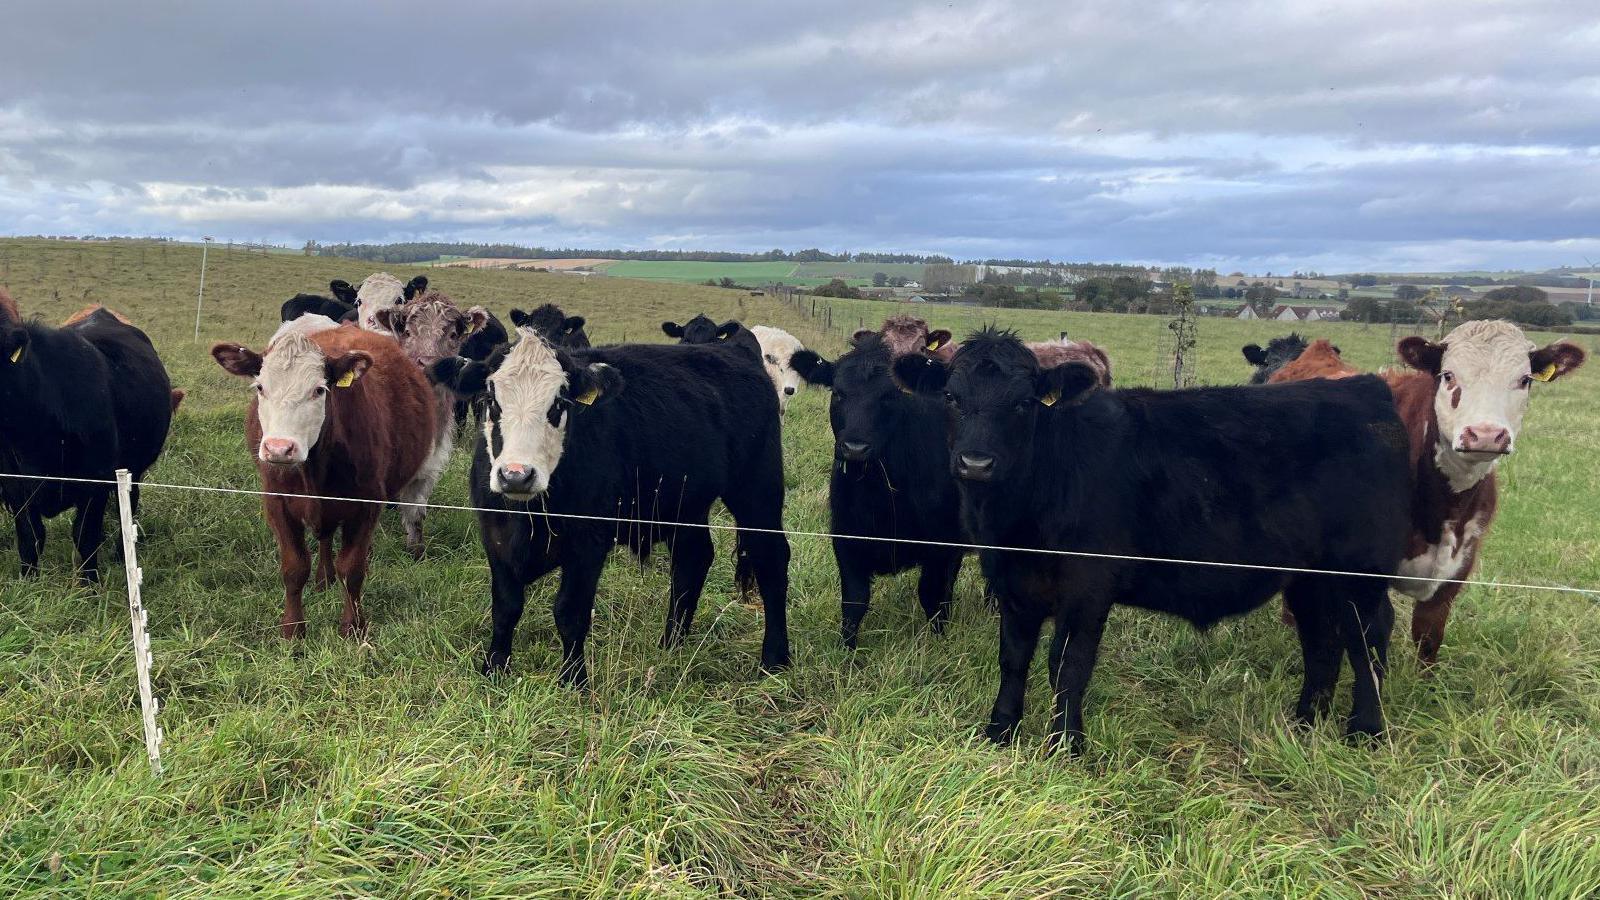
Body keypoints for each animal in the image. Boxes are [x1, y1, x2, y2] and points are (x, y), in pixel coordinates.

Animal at [0, 303, 177, 582]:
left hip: (133, 470)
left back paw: (120, 555)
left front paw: (89, 585)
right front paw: (28, 580)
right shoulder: (15, 485)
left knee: (128, 506)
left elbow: (85, 536)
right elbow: (30, 536)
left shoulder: (95, 483)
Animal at [211, 325, 436, 637]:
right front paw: (293, 630)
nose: (279, 448)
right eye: (260, 388)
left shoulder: (366, 504)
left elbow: (352, 569)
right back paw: (323, 579)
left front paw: (353, 626)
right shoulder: (278, 503)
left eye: (319, 390)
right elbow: (294, 568)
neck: (313, 470)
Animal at [372, 290, 491, 556]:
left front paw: (416, 551)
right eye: (407, 332)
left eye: (453, 334)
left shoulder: (429, 461)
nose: (427, 363)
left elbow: (416, 510)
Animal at [429, 329, 791, 685]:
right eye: (492, 401)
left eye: (558, 403)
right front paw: (494, 670)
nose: (516, 475)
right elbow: (506, 607)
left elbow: (570, 612)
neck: (530, 514)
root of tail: (734, 347)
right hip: (685, 505)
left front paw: (573, 681)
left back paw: (775, 660)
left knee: (771, 558)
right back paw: (671, 644)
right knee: (693, 559)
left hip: (757, 489)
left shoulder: (589, 542)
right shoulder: (495, 535)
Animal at [894, 328, 1412, 751]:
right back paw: (1305, 722)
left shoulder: (1088, 586)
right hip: (1311, 575)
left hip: (1362, 568)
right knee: (1322, 637)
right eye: (950, 396)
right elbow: (1014, 657)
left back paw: (1365, 730)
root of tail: (1364, 389)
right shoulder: (1013, 580)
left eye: (1023, 403)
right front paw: (1000, 731)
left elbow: (1068, 664)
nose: (975, 463)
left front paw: (1065, 745)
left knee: (1368, 634)